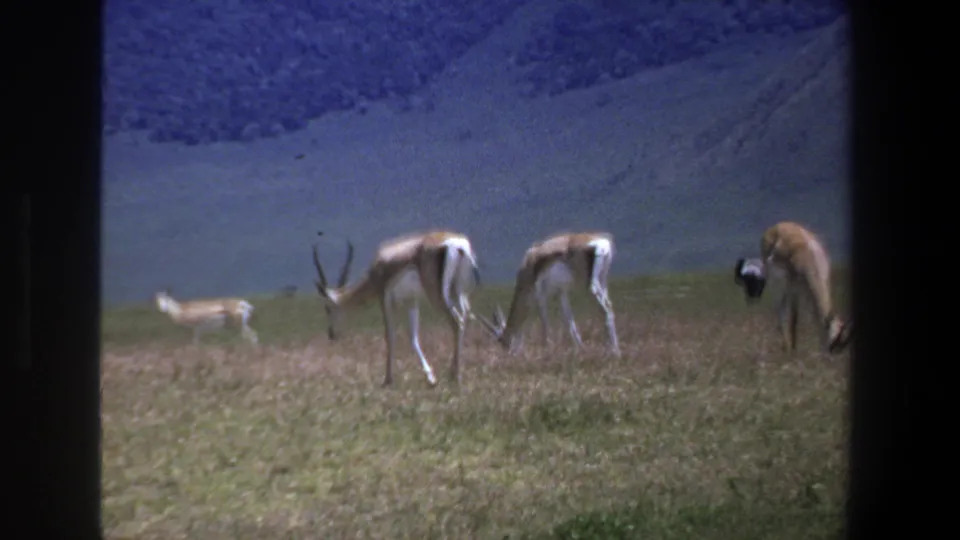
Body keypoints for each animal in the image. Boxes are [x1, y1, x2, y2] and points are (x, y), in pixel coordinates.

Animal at [312, 230, 482, 387]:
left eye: (327, 308)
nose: (331, 334)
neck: (378, 267)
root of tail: (458, 245)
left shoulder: (384, 299)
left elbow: (390, 337)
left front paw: (388, 379)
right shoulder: (411, 301)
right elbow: (413, 337)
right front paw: (430, 377)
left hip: (437, 294)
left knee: (457, 321)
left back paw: (455, 376)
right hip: (459, 291)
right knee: (466, 317)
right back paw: (454, 371)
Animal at [475, 232, 621, 357]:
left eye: (502, 341)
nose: (509, 354)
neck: (529, 264)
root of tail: (600, 242)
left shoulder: (540, 296)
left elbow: (545, 322)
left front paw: (548, 349)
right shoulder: (561, 293)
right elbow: (569, 322)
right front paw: (580, 349)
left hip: (591, 285)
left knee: (607, 309)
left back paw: (614, 351)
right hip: (603, 280)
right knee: (609, 306)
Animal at [734, 221, 853, 354]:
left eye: (843, 343)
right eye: (834, 342)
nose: (829, 355)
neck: (808, 258)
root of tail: (779, 225)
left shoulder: (805, 291)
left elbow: (797, 318)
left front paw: (795, 348)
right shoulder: (793, 290)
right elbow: (789, 317)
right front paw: (790, 350)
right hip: (779, 288)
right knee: (780, 312)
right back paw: (785, 346)